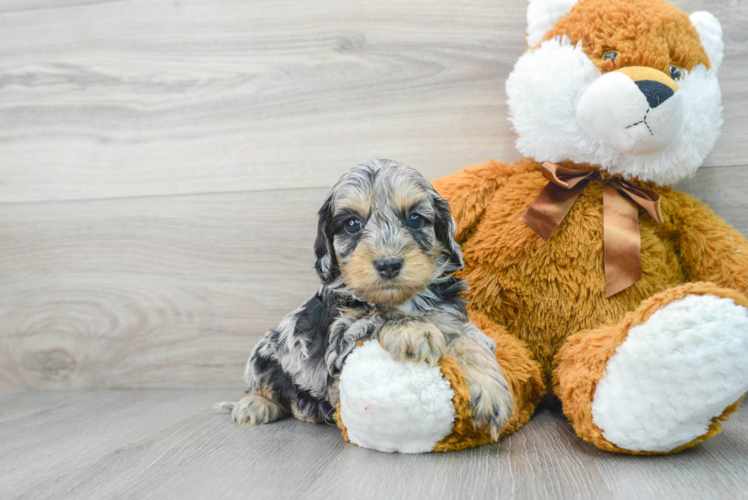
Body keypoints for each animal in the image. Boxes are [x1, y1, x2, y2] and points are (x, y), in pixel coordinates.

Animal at [222, 159, 516, 438]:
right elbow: (380, 317)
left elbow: (470, 340)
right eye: (353, 224)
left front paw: (490, 392)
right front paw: (416, 330)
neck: (404, 300)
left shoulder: (453, 318)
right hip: (263, 355)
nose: (389, 264)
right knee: (265, 386)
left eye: (415, 219)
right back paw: (255, 405)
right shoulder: (341, 340)